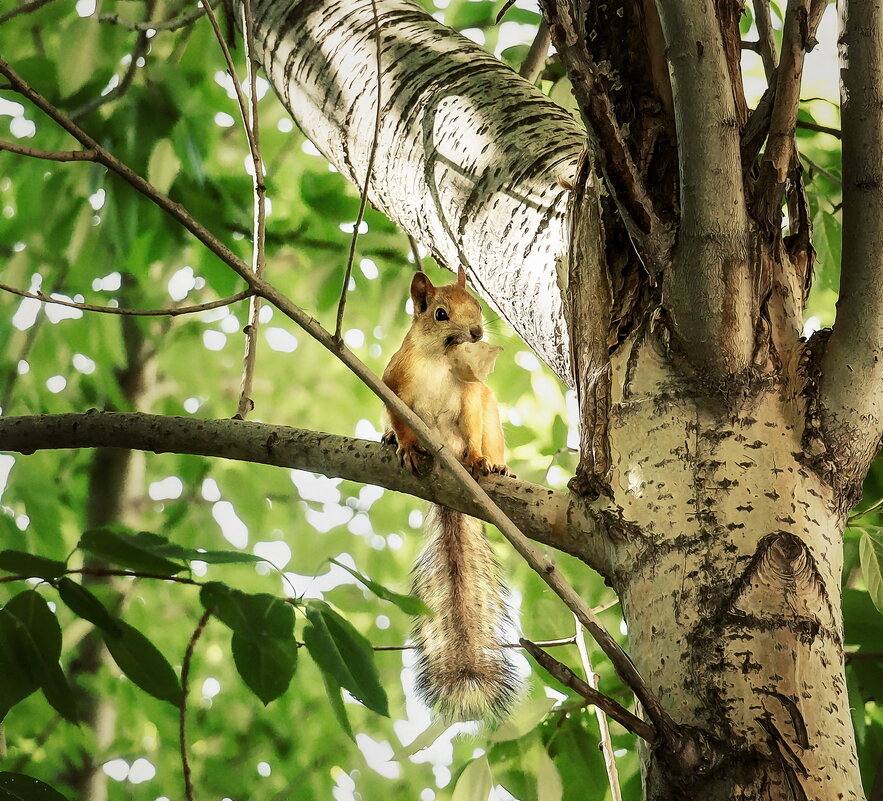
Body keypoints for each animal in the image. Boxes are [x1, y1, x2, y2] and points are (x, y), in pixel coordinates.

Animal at [384, 268, 520, 720]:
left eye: (477, 304)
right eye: (440, 314)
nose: (476, 333)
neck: (440, 362)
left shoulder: (472, 392)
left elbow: (473, 420)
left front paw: (478, 458)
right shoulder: (392, 384)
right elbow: (400, 419)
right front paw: (407, 445)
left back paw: (496, 465)